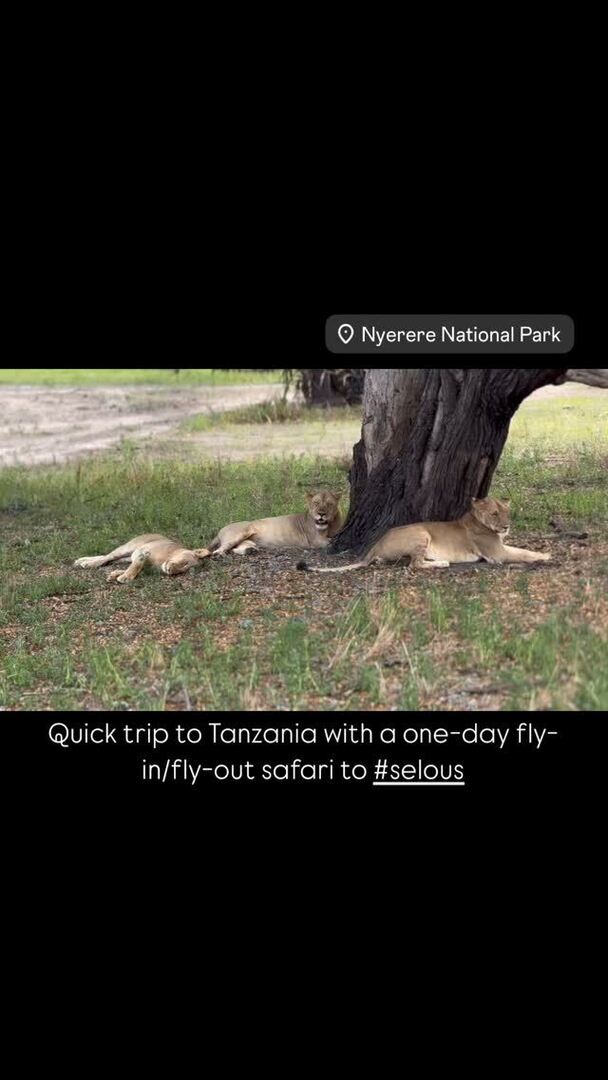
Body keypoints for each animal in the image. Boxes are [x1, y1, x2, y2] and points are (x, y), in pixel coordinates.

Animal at [73, 535, 210, 583]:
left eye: (182, 571)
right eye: (185, 563)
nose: (170, 570)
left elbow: (132, 568)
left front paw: (115, 574)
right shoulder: (142, 552)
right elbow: (137, 564)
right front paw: (125, 577)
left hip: (124, 558)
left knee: (109, 559)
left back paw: (81, 561)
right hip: (127, 548)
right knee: (108, 556)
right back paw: (87, 563)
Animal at [198, 490, 343, 558]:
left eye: (329, 504)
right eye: (316, 503)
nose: (321, 514)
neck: (330, 526)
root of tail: (220, 530)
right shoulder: (316, 541)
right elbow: (331, 542)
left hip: (248, 541)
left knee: (235, 548)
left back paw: (250, 551)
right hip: (240, 533)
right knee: (218, 549)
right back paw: (220, 555)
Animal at [297, 497, 551, 574]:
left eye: (507, 513)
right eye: (494, 514)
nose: (507, 526)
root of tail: (375, 546)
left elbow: (522, 549)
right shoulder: (496, 553)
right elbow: (523, 553)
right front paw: (546, 556)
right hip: (420, 533)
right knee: (414, 564)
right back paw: (442, 563)